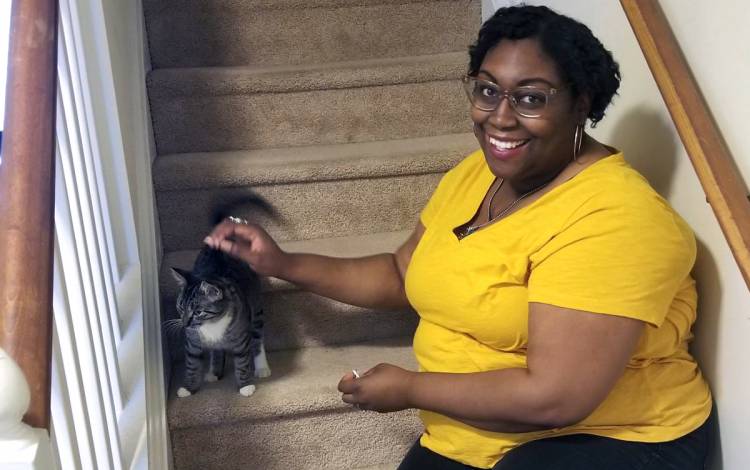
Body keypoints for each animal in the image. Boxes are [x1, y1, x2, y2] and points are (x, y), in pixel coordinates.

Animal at [167, 246, 270, 396]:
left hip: (255, 305)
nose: (185, 323)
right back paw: (214, 372)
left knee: (258, 337)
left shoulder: (240, 336)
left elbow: (242, 362)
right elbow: (192, 363)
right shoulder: (192, 340)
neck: (212, 323)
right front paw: (188, 388)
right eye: (180, 307)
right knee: (216, 350)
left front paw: (245, 386)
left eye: (198, 312)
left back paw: (262, 367)